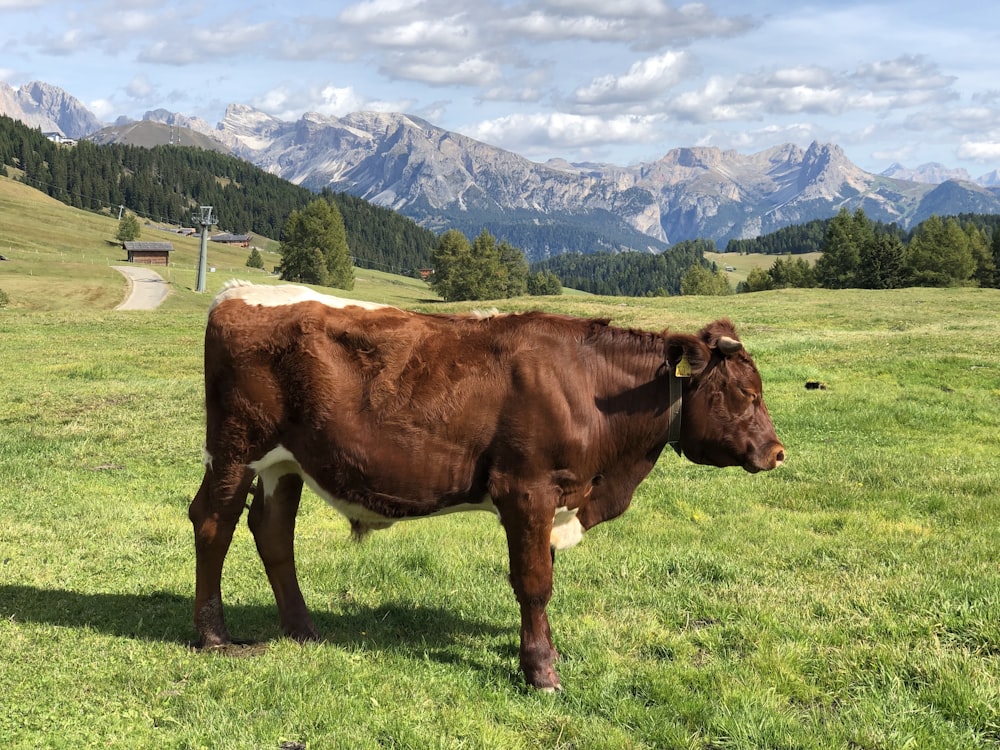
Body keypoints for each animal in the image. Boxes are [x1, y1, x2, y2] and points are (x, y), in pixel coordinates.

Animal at [188, 282, 780, 692]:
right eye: (747, 393)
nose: (777, 451)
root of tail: (236, 295)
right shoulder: (527, 490)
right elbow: (535, 581)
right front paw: (541, 673)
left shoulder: (553, 501)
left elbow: (543, 573)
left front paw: (545, 654)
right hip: (235, 449)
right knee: (213, 523)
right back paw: (214, 637)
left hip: (284, 464)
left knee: (272, 533)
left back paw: (302, 629)